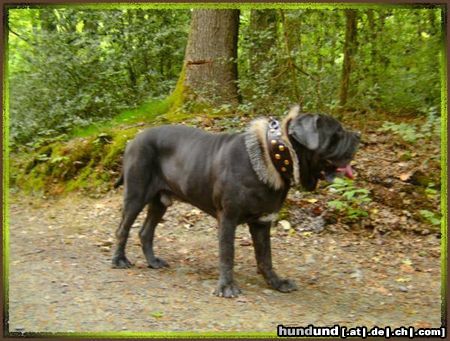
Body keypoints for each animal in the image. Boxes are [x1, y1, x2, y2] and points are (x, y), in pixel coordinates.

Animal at [112, 105, 358, 296]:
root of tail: (132, 140)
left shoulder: (262, 222)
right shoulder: (228, 218)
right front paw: (227, 287)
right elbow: (227, 253)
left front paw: (276, 282)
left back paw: (153, 261)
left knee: (146, 231)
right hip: (136, 195)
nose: (358, 136)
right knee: (123, 228)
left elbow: (265, 257)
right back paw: (119, 260)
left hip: (160, 201)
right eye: (337, 132)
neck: (274, 154)